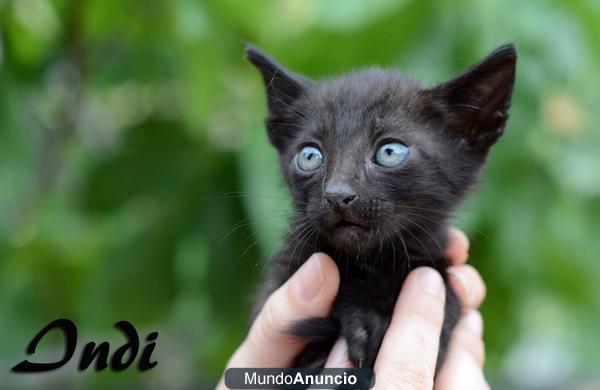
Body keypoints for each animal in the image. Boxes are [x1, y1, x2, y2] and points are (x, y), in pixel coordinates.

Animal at [244, 43, 516, 372]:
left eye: (390, 152)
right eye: (309, 156)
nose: (337, 195)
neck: (371, 264)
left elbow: (447, 295)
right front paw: (363, 324)